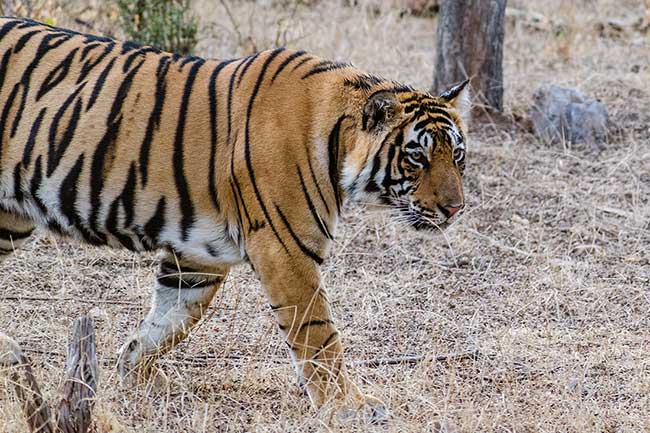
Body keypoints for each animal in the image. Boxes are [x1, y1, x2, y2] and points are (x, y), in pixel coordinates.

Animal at [0, 17, 468, 422]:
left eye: (458, 155)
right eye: (417, 157)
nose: (455, 208)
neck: (337, 141)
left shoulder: (197, 257)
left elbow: (168, 322)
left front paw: (133, 372)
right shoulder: (286, 250)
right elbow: (318, 333)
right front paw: (347, 405)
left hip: (10, 219)